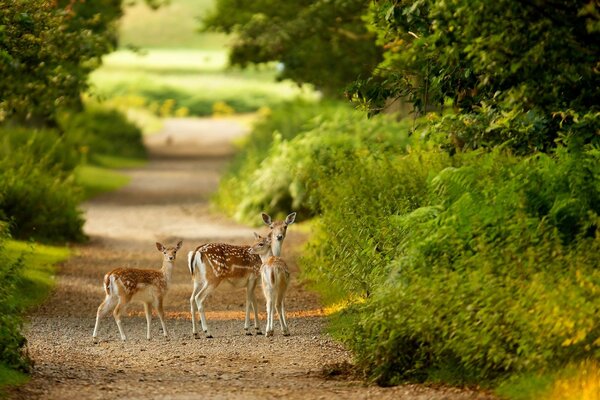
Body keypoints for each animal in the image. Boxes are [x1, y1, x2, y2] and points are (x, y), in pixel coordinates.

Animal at [188, 211, 296, 340]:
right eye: (271, 226)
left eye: (285, 226)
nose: (279, 236)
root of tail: (196, 252)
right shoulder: (253, 277)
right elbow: (249, 302)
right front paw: (247, 329)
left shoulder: (254, 282)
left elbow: (255, 303)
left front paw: (258, 329)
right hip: (213, 278)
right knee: (199, 298)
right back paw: (207, 332)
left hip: (197, 280)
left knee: (191, 299)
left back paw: (195, 333)